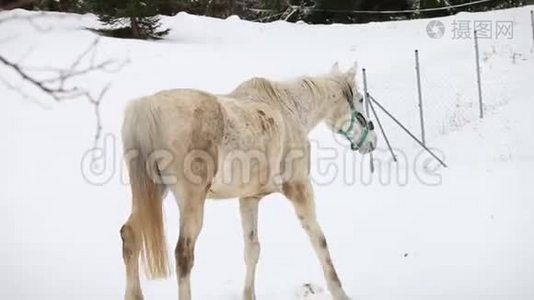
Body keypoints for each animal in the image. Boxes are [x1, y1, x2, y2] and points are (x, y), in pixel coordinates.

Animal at [120, 62, 382, 298]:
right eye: (360, 99)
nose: (372, 141)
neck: (289, 110)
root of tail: (149, 106)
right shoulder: (299, 189)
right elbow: (319, 239)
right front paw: (339, 292)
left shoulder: (249, 198)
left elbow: (252, 250)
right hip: (190, 202)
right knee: (183, 255)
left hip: (153, 193)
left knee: (130, 235)